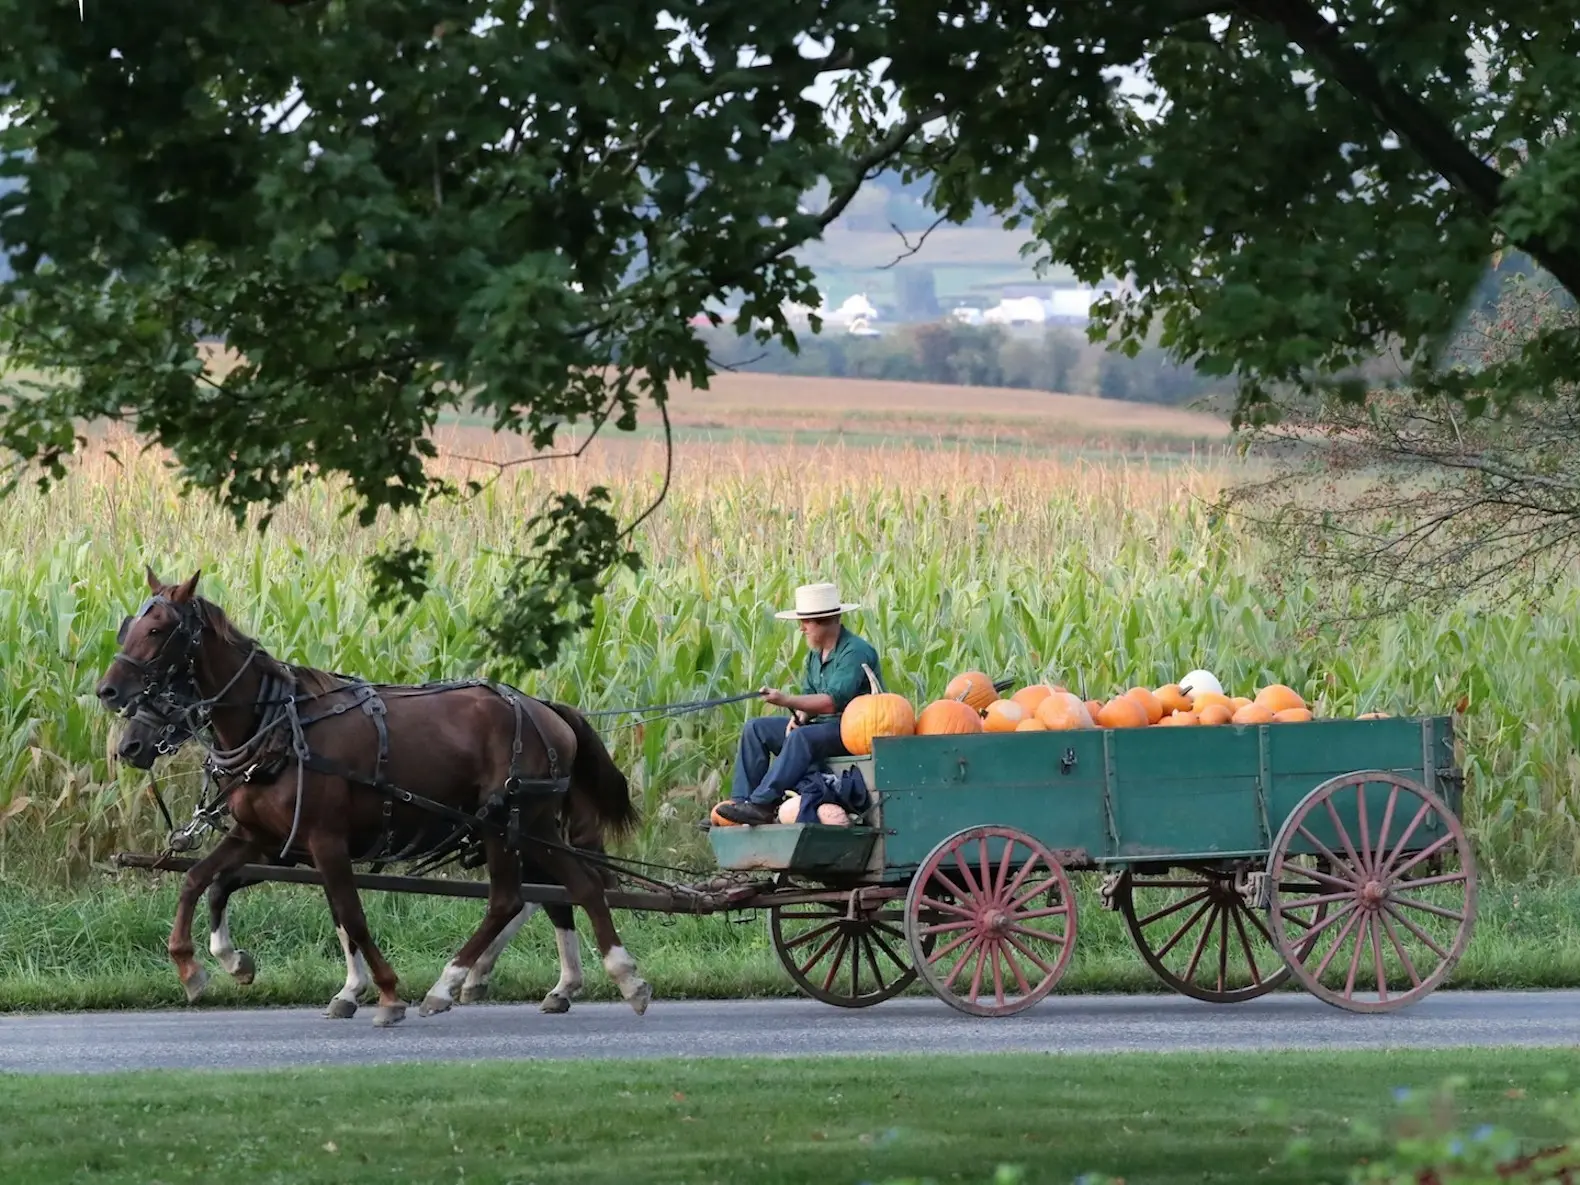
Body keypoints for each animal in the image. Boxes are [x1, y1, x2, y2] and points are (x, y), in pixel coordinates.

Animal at [95, 571, 650, 1023]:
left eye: (157, 630)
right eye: (127, 627)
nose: (108, 694)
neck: (279, 727)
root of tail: (546, 709)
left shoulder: (324, 840)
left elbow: (351, 916)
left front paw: (385, 993)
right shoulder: (264, 837)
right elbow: (202, 881)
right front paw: (204, 966)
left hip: (512, 822)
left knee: (527, 896)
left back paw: (465, 983)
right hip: (526, 828)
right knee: (564, 889)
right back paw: (584, 979)